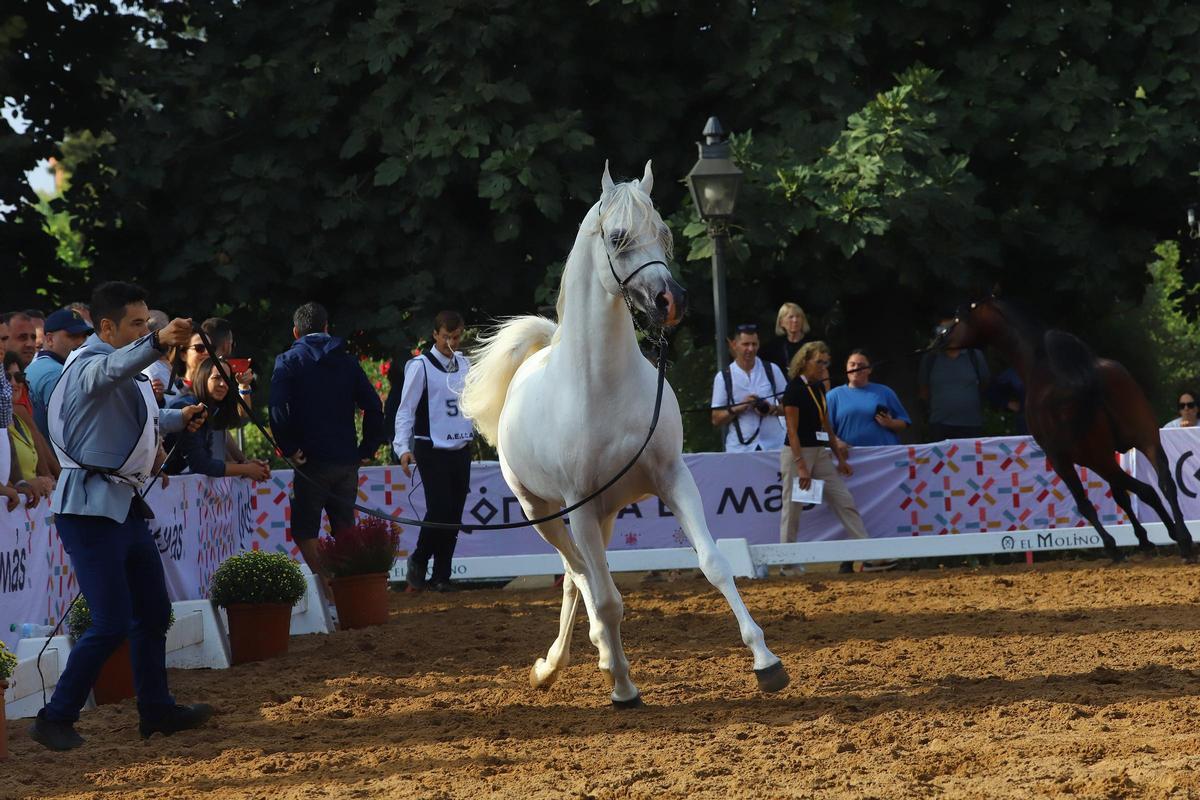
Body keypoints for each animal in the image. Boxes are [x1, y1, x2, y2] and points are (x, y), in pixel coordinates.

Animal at [461, 162, 789, 707]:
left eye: (665, 234)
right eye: (617, 237)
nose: (670, 301)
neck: (602, 389)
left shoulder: (673, 479)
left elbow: (714, 563)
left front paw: (767, 663)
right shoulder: (578, 507)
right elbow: (608, 599)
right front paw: (621, 685)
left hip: (605, 514)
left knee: (575, 581)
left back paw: (563, 663)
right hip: (544, 512)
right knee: (582, 577)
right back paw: (575, 662)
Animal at [943, 296, 1195, 563]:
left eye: (958, 317)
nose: (942, 339)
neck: (1038, 361)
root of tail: (1090, 376)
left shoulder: (1059, 459)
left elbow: (1086, 503)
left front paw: (1116, 546)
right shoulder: (1115, 451)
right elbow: (1121, 496)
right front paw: (1144, 539)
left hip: (1094, 459)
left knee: (1142, 490)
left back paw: (1166, 540)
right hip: (1144, 441)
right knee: (1164, 484)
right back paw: (1182, 538)